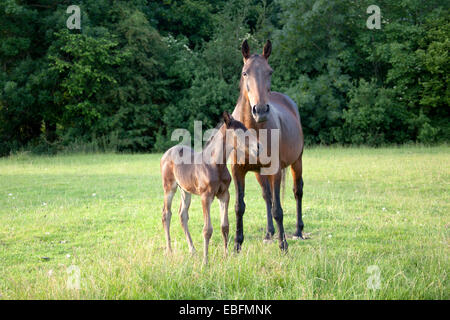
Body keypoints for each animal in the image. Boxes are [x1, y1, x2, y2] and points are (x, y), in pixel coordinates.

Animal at [161, 111, 260, 264]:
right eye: (239, 132)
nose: (259, 147)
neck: (215, 165)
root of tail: (167, 153)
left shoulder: (224, 195)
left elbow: (225, 226)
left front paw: (226, 256)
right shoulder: (205, 197)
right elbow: (207, 230)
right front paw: (205, 262)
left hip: (185, 190)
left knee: (182, 215)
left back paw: (193, 250)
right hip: (169, 187)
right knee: (166, 214)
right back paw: (170, 251)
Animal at [232, 38, 306, 251]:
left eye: (270, 72)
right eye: (245, 72)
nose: (261, 110)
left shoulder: (275, 169)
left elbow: (278, 209)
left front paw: (283, 245)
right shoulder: (237, 171)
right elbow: (239, 207)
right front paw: (237, 245)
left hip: (297, 162)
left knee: (297, 191)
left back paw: (298, 231)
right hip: (259, 172)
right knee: (267, 195)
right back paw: (268, 233)